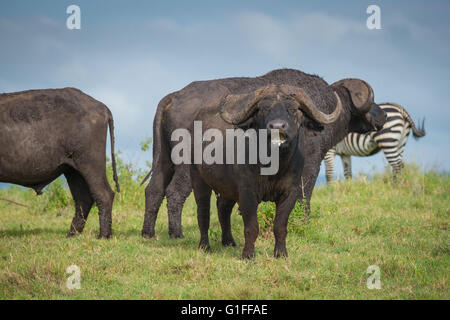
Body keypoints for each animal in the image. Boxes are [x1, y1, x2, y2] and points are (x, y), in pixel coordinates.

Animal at [0, 87, 119, 238]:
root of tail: (102, 107)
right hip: (72, 170)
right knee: (83, 199)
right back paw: (72, 234)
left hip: (90, 163)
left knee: (104, 194)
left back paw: (103, 236)